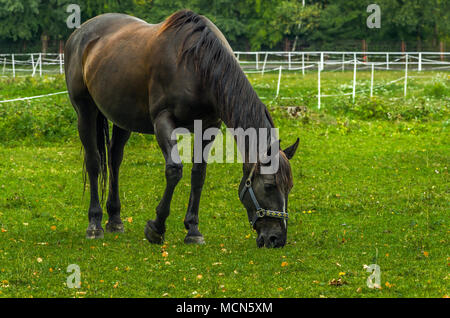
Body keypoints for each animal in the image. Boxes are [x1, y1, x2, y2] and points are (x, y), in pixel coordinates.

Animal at [64, 9, 298, 248]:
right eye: (269, 186)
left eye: (289, 187)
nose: (276, 238)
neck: (197, 66)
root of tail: (79, 34)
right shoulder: (163, 121)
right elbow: (174, 170)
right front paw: (156, 227)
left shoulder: (209, 127)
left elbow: (198, 174)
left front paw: (193, 229)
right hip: (85, 111)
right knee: (94, 162)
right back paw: (95, 223)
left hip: (122, 118)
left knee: (114, 159)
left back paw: (115, 219)